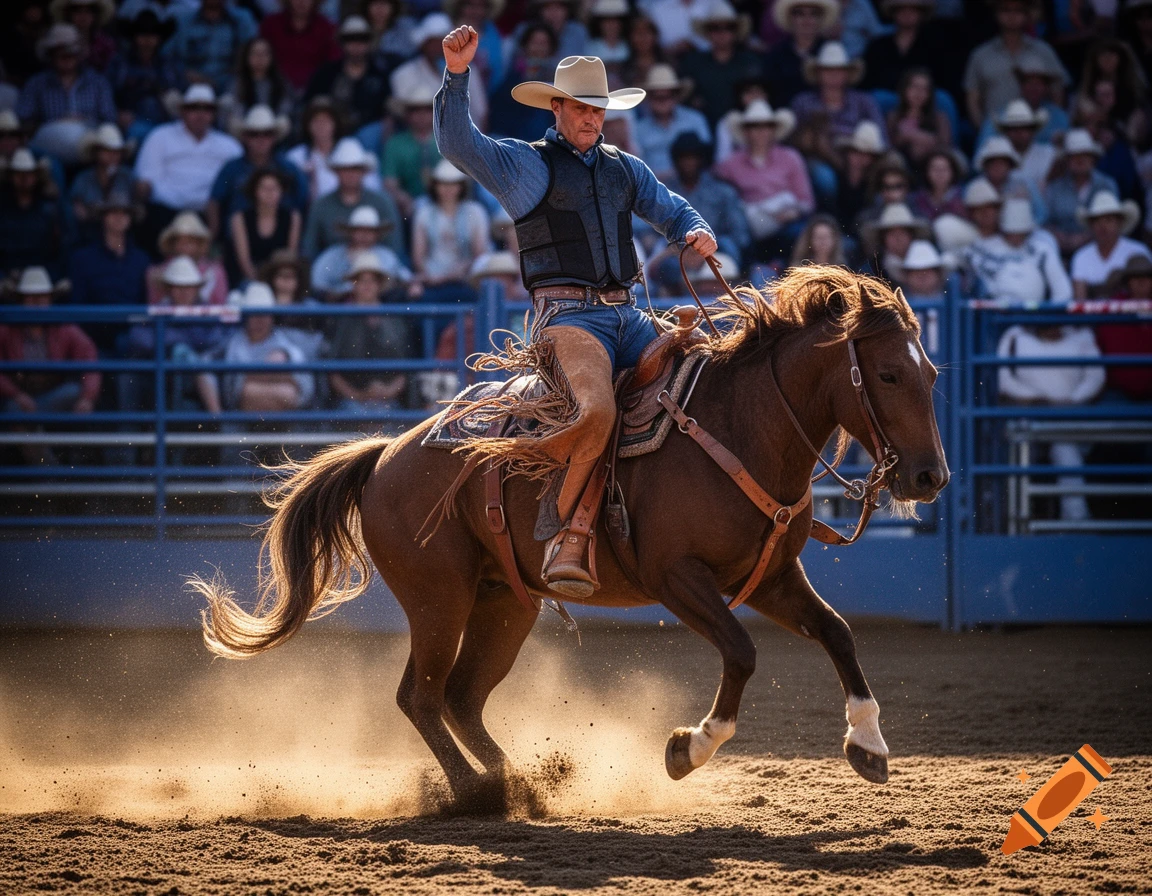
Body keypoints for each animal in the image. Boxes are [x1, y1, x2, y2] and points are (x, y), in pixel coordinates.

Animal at [195, 265, 949, 805]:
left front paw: (869, 746)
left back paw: (520, 782)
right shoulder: (678, 578)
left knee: (462, 697)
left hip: (505, 603)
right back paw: (478, 795)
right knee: (422, 696)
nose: (929, 476)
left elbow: (838, 633)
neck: (739, 426)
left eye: (932, 372)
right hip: (438, 599)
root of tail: (385, 455)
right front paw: (687, 749)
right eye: (887, 372)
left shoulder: (768, 578)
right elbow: (740, 651)